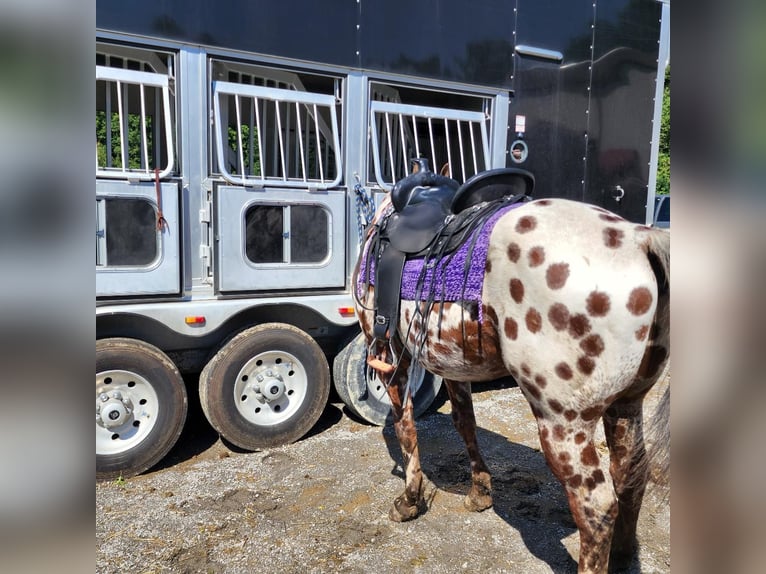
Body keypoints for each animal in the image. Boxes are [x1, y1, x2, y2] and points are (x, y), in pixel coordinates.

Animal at [354, 164, 672, 572]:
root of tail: (639, 239)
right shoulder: (455, 366)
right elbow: (465, 423)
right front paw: (480, 492)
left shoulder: (391, 352)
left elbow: (405, 426)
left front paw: (409, 501)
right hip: (626, 406)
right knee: (632, 475)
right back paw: (623, 554)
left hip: (564, 425)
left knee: (597, 508)